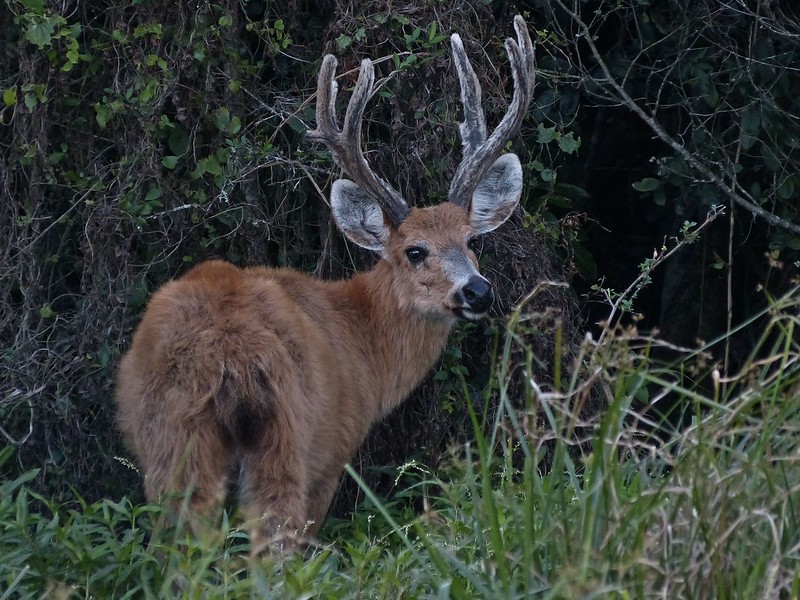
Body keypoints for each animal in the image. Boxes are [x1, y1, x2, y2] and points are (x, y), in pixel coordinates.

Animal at [115, 16, 534, 554]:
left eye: (471, 240)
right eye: (414, 251)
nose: (478, 291)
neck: (362, 343)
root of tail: (227, 356)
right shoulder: (334, 452)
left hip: (170, 444)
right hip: (288, 436)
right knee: (274, 541)